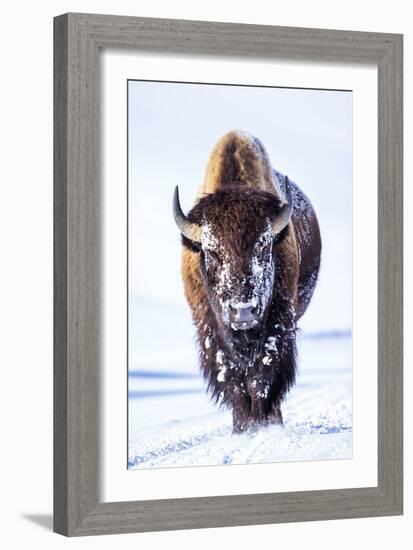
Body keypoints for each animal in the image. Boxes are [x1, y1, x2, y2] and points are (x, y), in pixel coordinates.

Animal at [172, 132, 320, 434]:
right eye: (212, 252)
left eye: (264, 247)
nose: (243, 311)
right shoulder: (211, 332)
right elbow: (233, 379)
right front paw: (242, 428)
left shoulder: (278, 326)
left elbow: (261, 377)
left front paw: (260, 425)